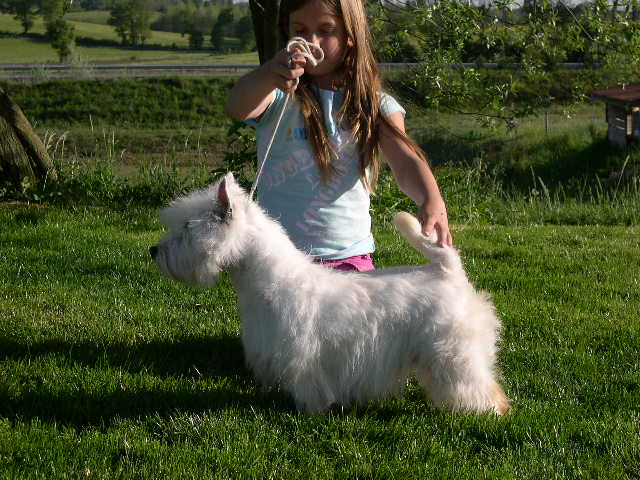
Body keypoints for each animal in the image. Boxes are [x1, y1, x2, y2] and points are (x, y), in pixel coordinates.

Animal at [150, 173, 510, 415]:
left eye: (186, 228)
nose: (153, 251)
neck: (266, 280)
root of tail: (448, 271)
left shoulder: (302, 353)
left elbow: (309, 386)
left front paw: (309, 411)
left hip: (453, 350)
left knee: (475, 382)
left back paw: (486, 410)